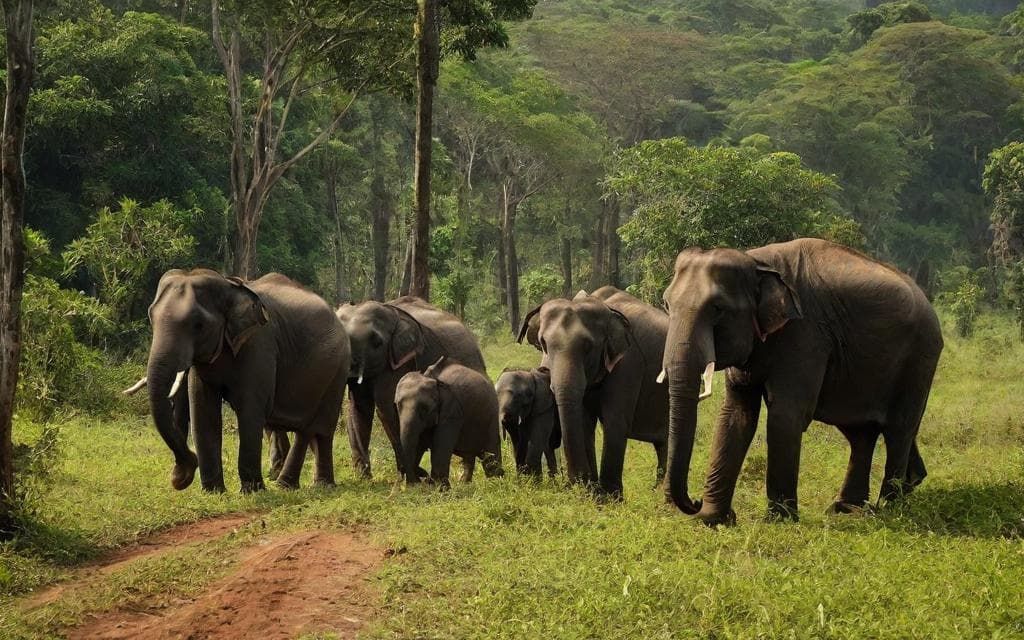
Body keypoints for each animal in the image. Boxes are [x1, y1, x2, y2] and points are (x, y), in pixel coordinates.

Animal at [126, 269, 351, 492]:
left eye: (198, 325)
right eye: (151, 318)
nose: (179, 477)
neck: (229, 286)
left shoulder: (259, 344)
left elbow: (250, 409)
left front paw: (253, 491)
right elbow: (203, 409)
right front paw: (213, 492)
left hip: (337, 371)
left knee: (313, 426)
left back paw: (293, 486)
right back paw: (314, 485)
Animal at [337, 296, 486, 479]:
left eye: (378, 343)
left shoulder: (398, 362)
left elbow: (387, 409)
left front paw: (412, 474)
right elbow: (359, 408)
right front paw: (364, 478)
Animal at [394, 357, 504, 487]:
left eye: (425, 408)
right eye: (398, 405)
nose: (424, 475)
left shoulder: (451, 411)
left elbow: (439, 449)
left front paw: (438, 488)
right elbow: (418, 445)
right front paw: (417, 485)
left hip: (491, 416)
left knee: (489, 456)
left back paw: (497, 481)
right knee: (470, 457)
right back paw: (464, 484)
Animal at [518, 287, 669, 499]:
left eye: (588, 347)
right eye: (543, 344)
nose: (573, 482)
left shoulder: (629, 362)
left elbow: (615, 419)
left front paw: (609, 499)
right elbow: (583, 421)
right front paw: (592, 493)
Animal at [661, 238, 942, 526]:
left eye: (718, 310)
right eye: (666, 305)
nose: (694, 502)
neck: (756, 261)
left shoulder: (806, 335)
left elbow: (785, 415)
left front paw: (779, 520)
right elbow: (736, 414)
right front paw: (712, 519)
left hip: (920, 359)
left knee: (899, 430)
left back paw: (888, 509)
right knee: (861, 433)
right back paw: (850, 507)